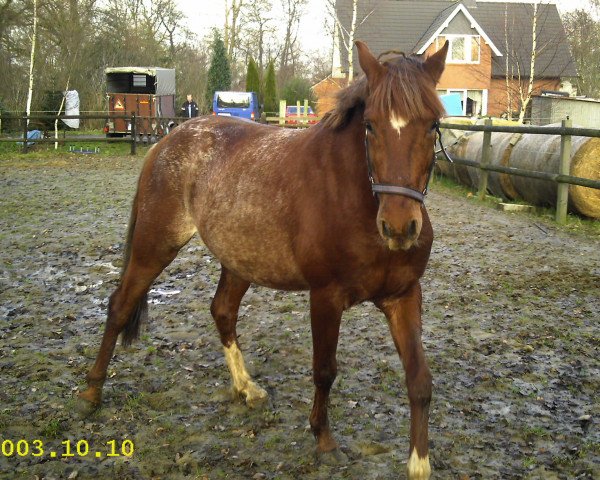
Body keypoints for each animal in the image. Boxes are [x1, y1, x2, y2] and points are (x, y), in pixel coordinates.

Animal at [78, 42, 446, 480]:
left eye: (433, 124)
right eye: (370, 126)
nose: (399, 227)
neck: (353, 196)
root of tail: (166, 141)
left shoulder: (403, 296)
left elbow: (419, 379)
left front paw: (419, 463)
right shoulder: (325, 297)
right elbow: (325, 370)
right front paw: (324, 441)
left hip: (239, 262)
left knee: (222, 311)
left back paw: (246, 387)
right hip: (155, 246)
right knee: (120, 306)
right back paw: (91, 393)